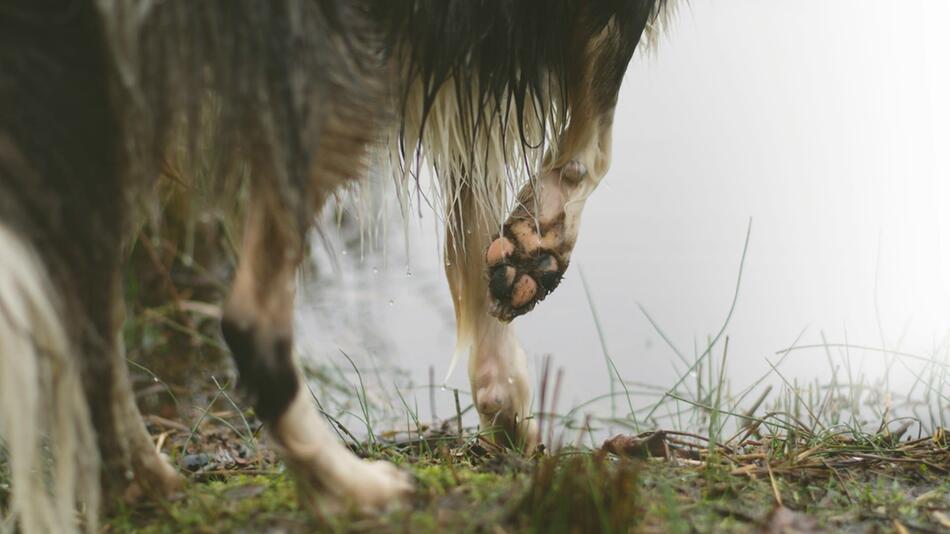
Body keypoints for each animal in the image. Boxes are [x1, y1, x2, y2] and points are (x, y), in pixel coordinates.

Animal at [0, 0, 672, 532]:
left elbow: (474, 196)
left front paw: (506, 389)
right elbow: (597, 125)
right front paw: (542, 241)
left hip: (99, 110)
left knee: (86, 323)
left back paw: (146, 482)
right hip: (325, 68)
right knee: (248, 319)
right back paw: (350, 488)